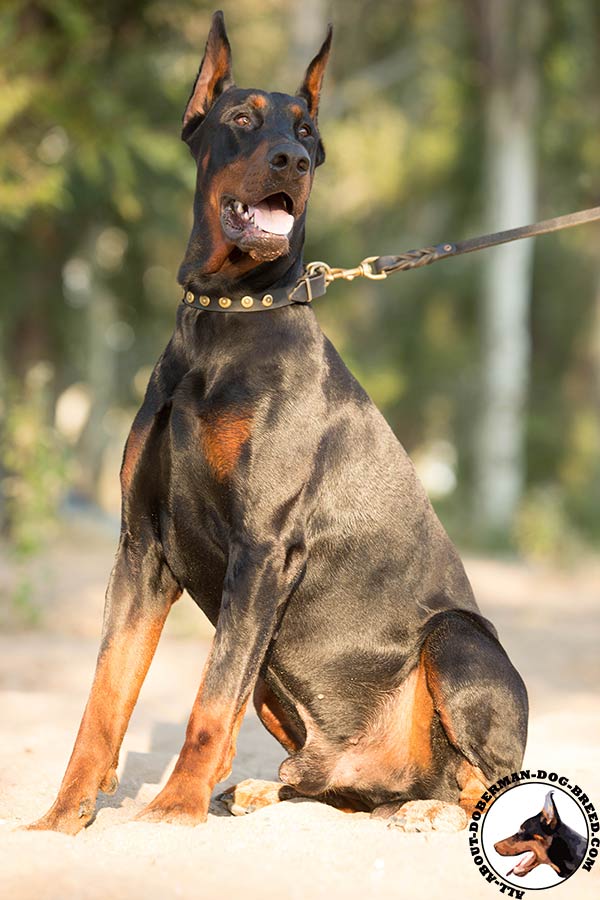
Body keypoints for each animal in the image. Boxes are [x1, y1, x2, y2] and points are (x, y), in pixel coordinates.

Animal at [28, 10, 528, 832]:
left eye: (308, 131)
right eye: (240, 119)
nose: (292, 161)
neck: (227, 317)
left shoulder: (263, 549)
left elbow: (209, 699)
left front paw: (172, 808)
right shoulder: (141, 548)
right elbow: (104, 698)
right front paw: (63, 818)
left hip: (458, 639)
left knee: (488, 779)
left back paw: (434, 811)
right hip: (290, 696)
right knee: (337, 780)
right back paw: (271, 788)